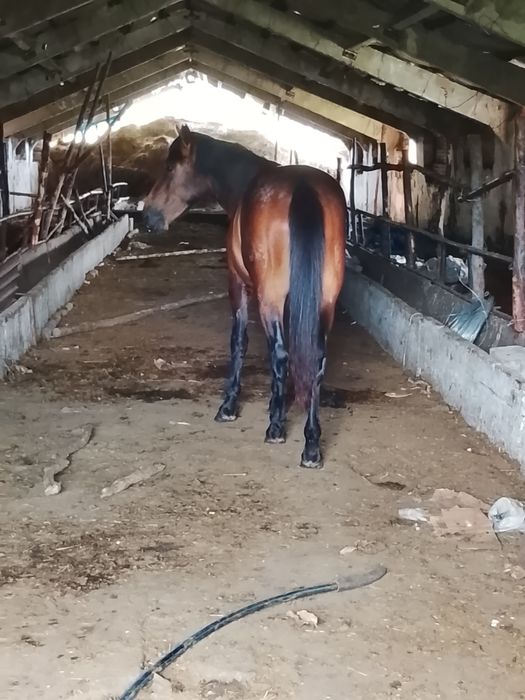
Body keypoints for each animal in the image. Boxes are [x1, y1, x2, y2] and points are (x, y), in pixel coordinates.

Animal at [143, 125, 347, 468]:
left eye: (170, 167)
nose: (147, 216)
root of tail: (304, 187)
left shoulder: (238, 285)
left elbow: (239, 342)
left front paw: (229, 406)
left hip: (269, 298)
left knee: (280, 354)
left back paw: (276, 428)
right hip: (325, 302)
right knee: (316, 360)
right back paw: (311, 446)